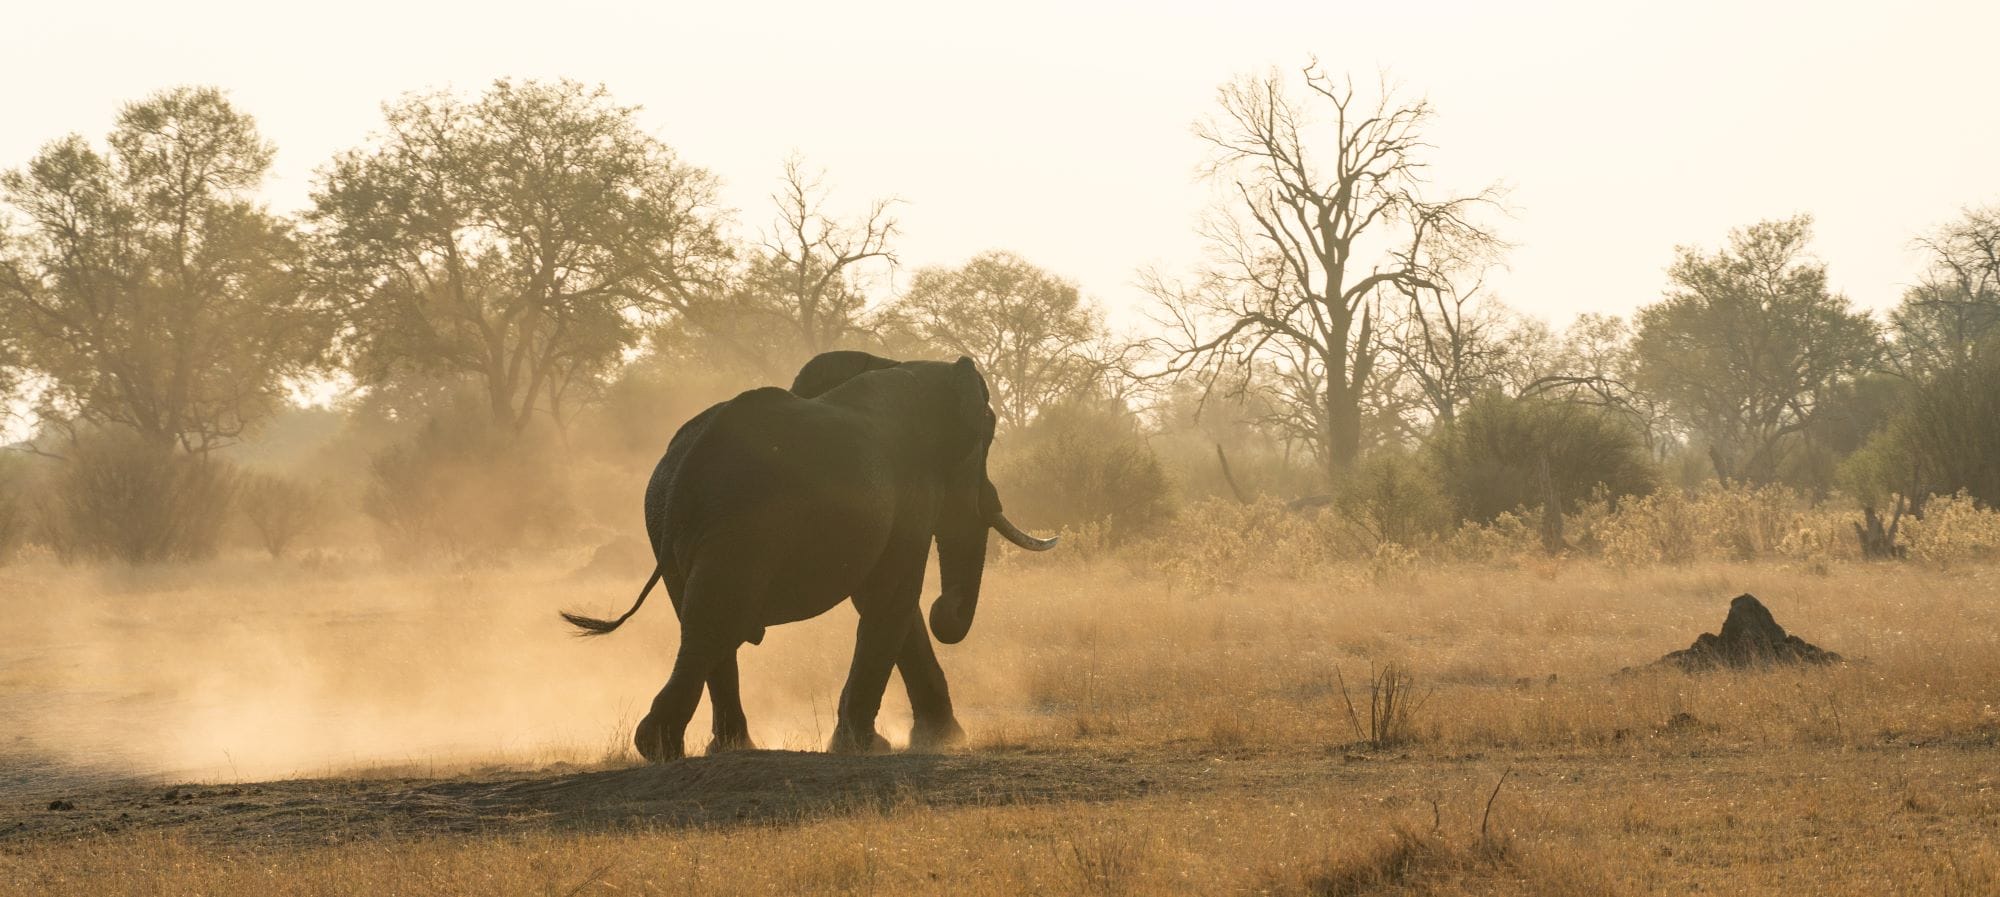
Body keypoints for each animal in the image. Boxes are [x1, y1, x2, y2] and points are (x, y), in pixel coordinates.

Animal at [560, 354, 1064, 760]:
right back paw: (665, 748)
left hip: (666, 516)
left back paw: (720, 748)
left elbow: (885, 601)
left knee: (702, 618)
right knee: (715, 620)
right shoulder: (912, 491)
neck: (910, 365)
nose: (948, 609)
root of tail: (687, 463)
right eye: (984, 447)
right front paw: (868, 747)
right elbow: (892, 596)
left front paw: (941, 740)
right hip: (744, 521)